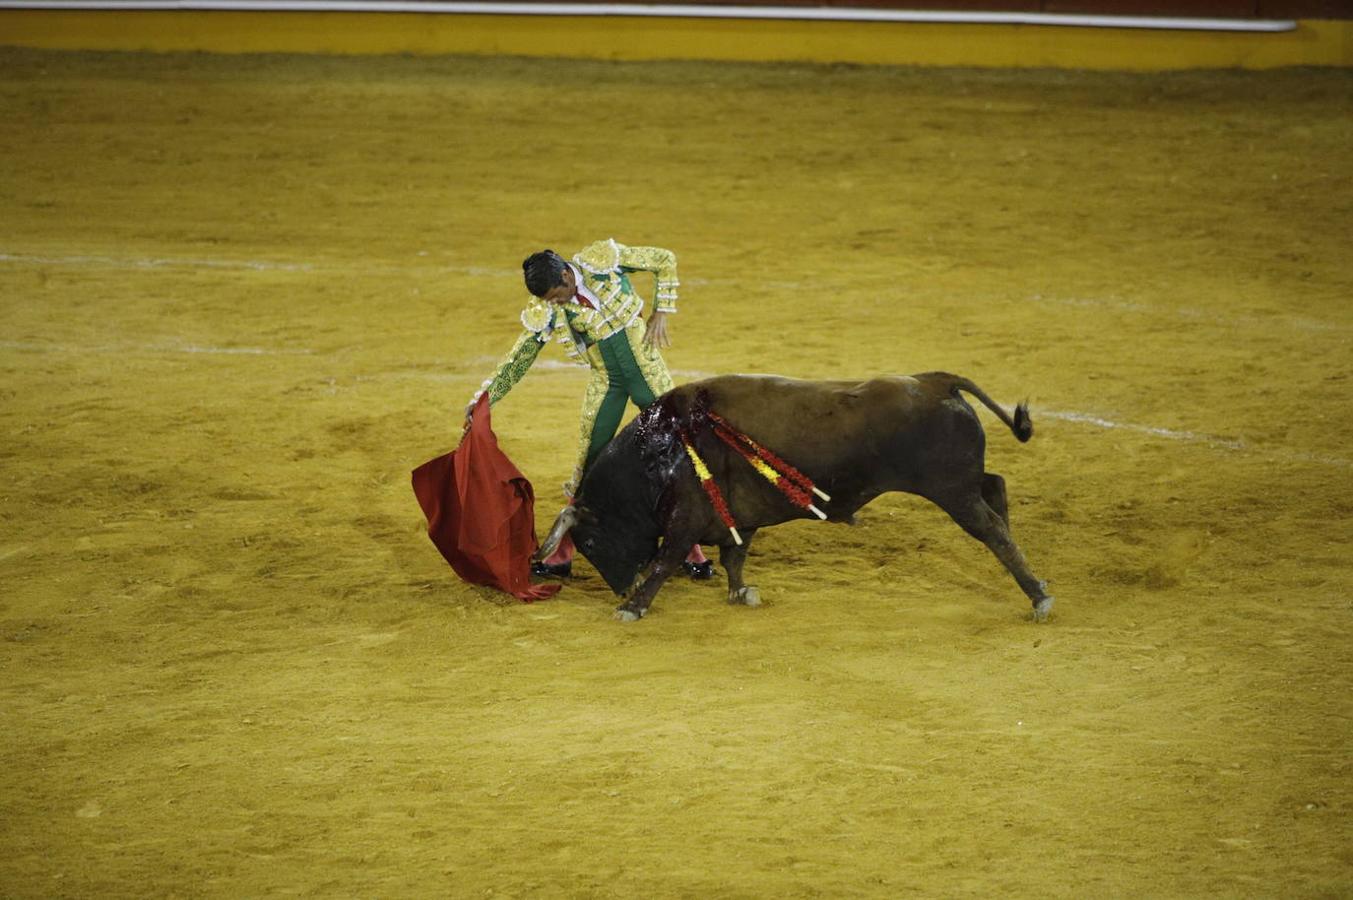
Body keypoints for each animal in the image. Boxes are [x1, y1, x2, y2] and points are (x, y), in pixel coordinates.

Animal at [538, 370, 1055, 617]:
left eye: (588, 541)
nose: (622, 587)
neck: (662, 448)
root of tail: (935, 381)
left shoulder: (687, 518)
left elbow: (668, 560)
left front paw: (633, 607)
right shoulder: (736, 518)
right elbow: (734, 556)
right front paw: (741, 593)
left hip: (949, 488)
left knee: (990, 527)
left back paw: (1037, 597)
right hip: (960, 481)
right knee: (996, 487)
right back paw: (1037, 581)